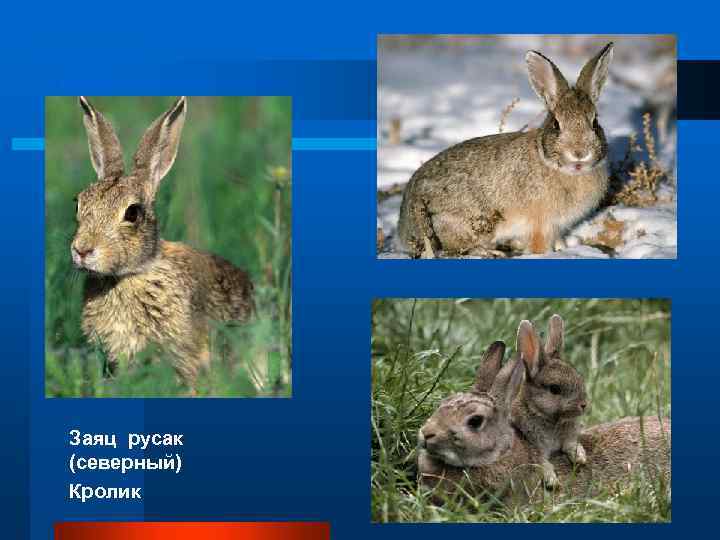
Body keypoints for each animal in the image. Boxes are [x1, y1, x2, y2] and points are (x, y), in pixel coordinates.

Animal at [397, 42, 614, 258]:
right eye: (556, 124)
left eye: (595, 122)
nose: (579, 153)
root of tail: (404, 226)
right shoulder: (541, 224)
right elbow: (539, 245)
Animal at [512, 315, 588, 488]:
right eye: (554, 389)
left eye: (579, 379)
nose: (584, 405)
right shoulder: (534, 444)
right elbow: (542, 462)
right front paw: (552, 480)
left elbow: (570, 444)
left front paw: (580, 457)